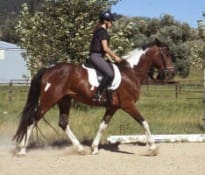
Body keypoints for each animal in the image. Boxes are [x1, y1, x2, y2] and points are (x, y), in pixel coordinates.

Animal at [13, 38, 175, 156]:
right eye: (166, 55)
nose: (171, 72)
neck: (131, 72)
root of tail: (48, 70)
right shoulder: (128, 105)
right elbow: (144, 122)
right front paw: (153, 148)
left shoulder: (112, 107)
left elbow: (103, 125)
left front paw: (94, 148)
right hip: (49, 100)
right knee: (32, 120)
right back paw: (22, 150)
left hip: (65, 100)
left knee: (63, 123)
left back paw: (80, 149)